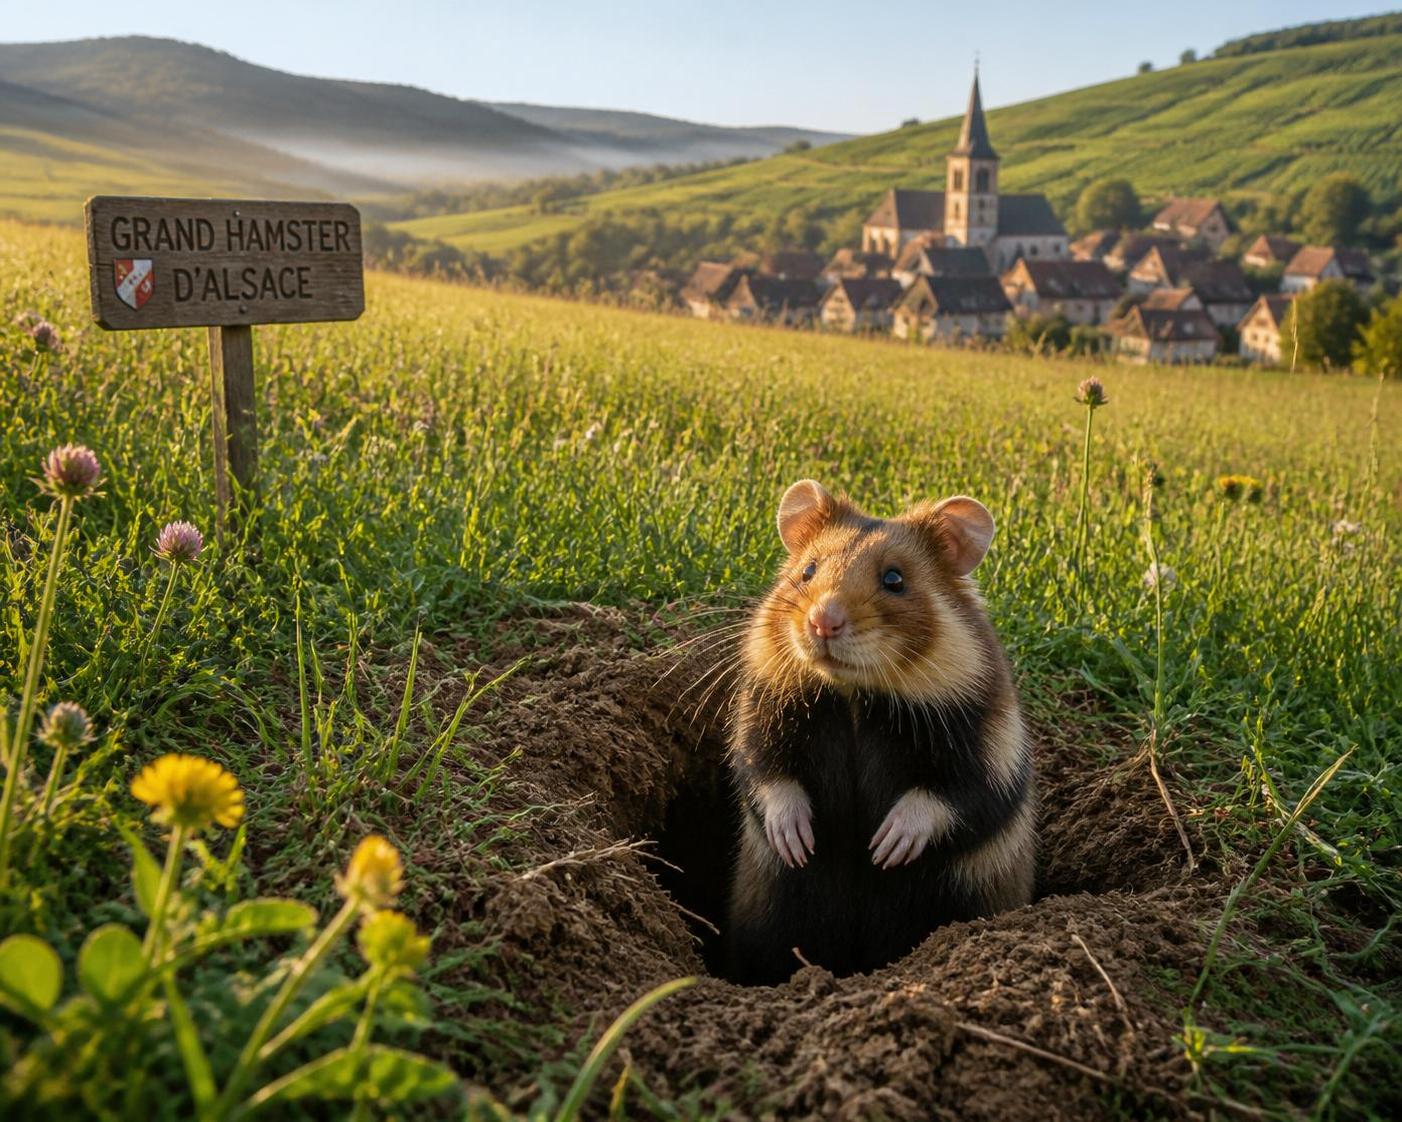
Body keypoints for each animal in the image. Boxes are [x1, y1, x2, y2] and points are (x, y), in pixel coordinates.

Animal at [726, 480, 1035, 985]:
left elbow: (950, 797)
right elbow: (768, 776)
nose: (823, 622)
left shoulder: (991, 749)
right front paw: (799, 845)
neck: (854, 697)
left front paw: (884, 849)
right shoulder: (758, 721)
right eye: (808, 570)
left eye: (894, 580)